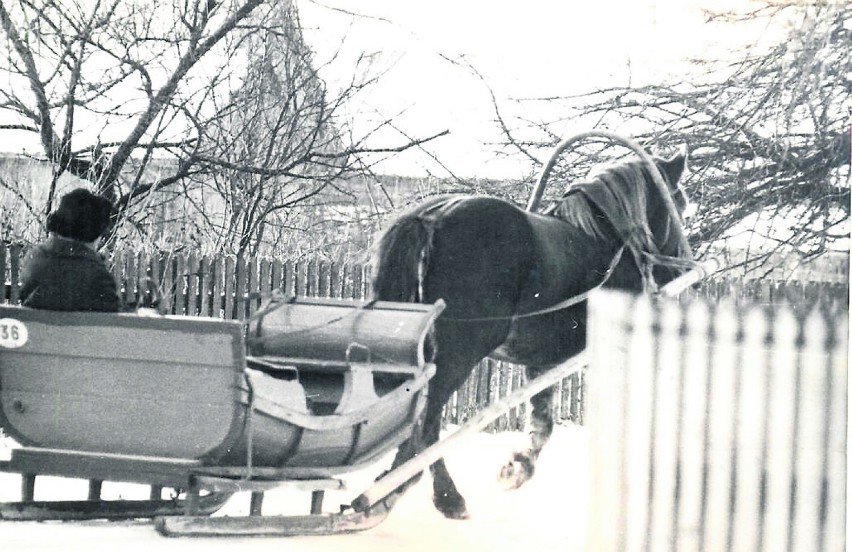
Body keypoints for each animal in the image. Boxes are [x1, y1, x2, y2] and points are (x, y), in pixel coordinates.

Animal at [372, 149, 692, 520]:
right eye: (679, 202)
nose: (676, 269)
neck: (612, 246)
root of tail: (431, 219)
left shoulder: (543, 363)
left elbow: (542, 424)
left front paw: (516, 468)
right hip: (457, 356)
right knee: (427, 421)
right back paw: (446, 497)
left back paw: (387, 490)